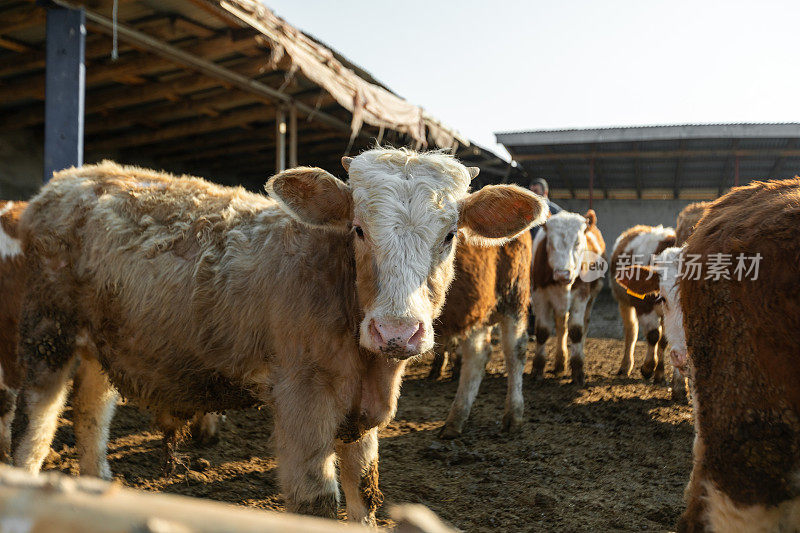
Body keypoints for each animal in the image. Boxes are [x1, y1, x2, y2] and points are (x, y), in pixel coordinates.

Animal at [428, 231, 536, 438]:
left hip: (514, 294)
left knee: (514, 352)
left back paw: (513, 415)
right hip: (476, 305)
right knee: (478, 355)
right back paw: (456, 419)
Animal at [532, 208, 608, 382]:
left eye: (578, 243)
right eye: (550, 242)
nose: (562, 274)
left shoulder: (581, 295)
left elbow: (576, 331)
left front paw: (578, 370)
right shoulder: (540, 295)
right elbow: (542, 331)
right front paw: (537, 369)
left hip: (591, 297)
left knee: (583, 325)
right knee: (561, 326)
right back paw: (560, 362)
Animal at [612, 224, 676, 382]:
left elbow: (664, 340)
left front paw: (659, 373)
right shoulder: (643, 306)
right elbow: (653, 335)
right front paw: (647, 368)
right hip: (624, 302)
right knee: (631, 330)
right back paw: (625, 366)